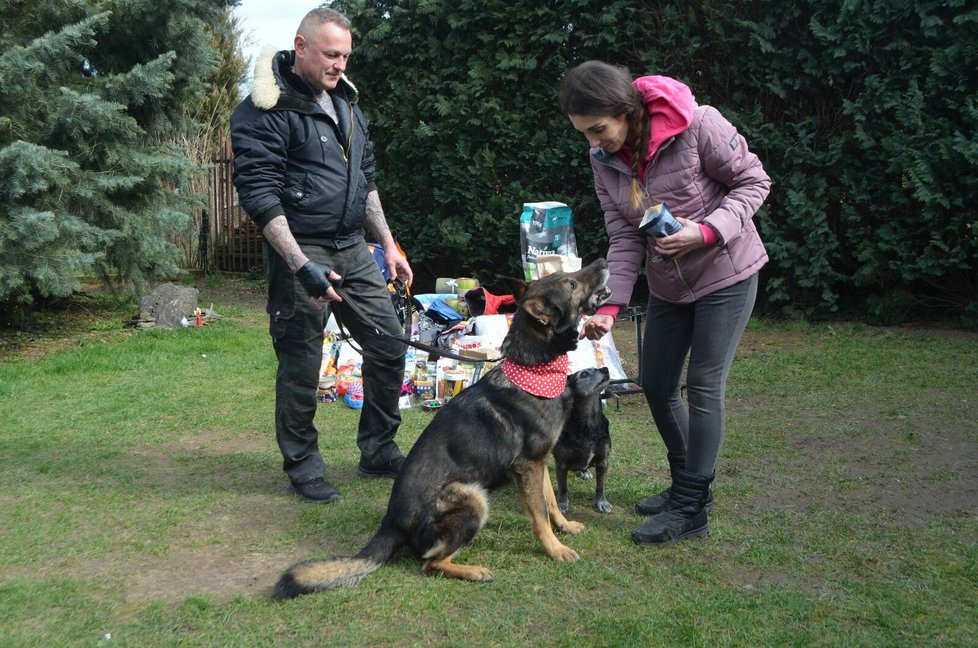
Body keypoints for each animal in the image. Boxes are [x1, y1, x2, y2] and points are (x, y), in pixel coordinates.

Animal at [548, 368, 608, 512]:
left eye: (596, 368)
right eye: (584, 374)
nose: (605, 369)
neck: (589, 426)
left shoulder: (603, 461)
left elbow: (600, 486)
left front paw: (602, 503)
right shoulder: (562, 463)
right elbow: (563, 488)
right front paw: (562, 503)